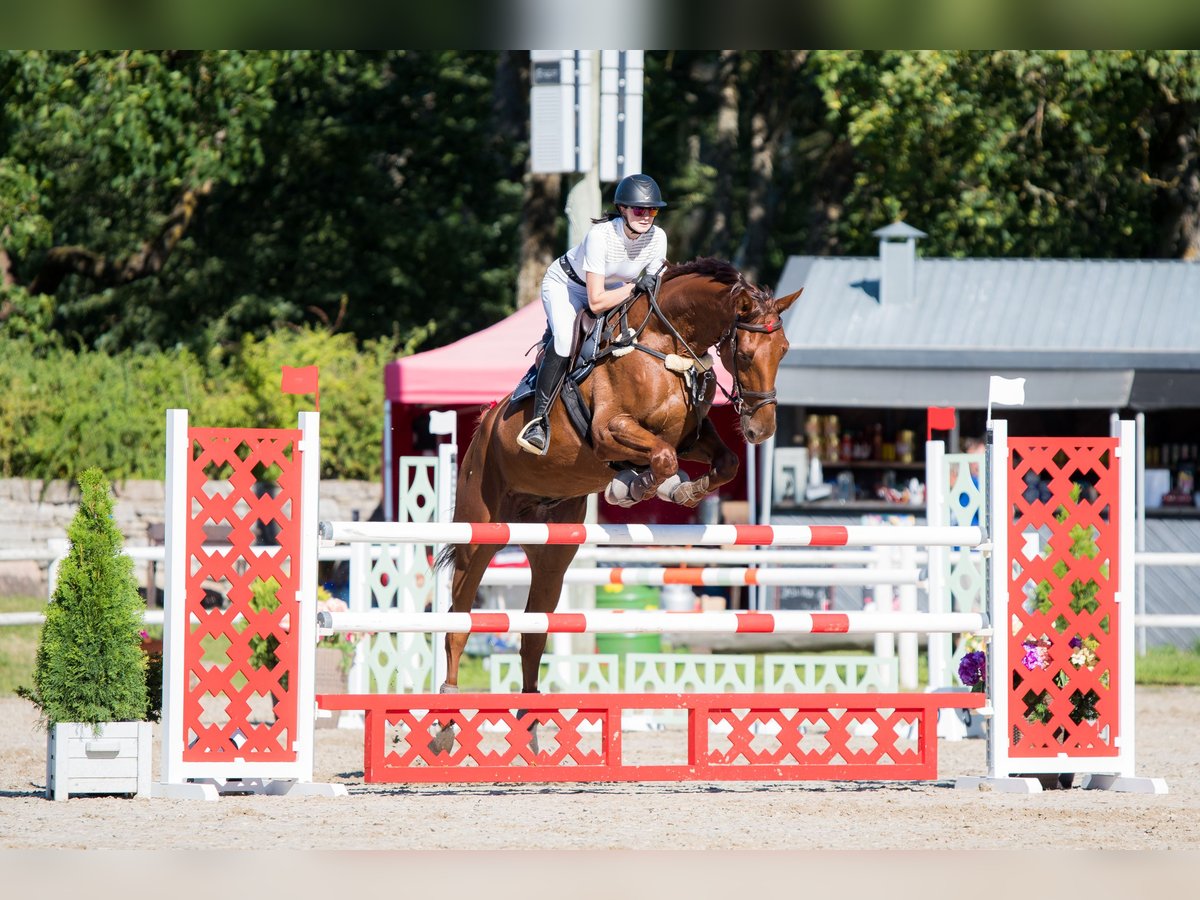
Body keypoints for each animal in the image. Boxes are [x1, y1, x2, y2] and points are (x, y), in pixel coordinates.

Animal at [432, 259, 796, 748]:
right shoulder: (609, 431)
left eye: (784, 350)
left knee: (533, 634)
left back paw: (529, 728)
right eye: (744, 355)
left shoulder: (691, 436)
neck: (664, 345)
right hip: (479, 534)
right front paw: (633, 488)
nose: (762, 430)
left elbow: (723, 462)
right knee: (458, 621)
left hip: (552, 552)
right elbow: (660, 456)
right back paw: (445, 725)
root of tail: (485, 423)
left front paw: (675, 489)